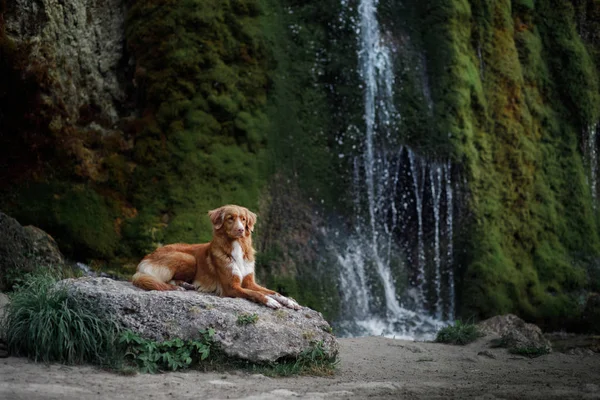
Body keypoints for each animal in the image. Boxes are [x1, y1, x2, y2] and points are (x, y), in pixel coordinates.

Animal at [132, 205, 300, 310]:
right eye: (230, 218)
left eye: (243, 219)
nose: (240, 230)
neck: (236, 246)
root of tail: (146, 258)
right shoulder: (231, 287)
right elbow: (256, 293)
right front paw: (270, 301)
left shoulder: (249, 281)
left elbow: (273, 291)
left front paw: (289, 301)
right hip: (188, 258)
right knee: (163, 280)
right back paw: (180, 286)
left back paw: (187, 285)